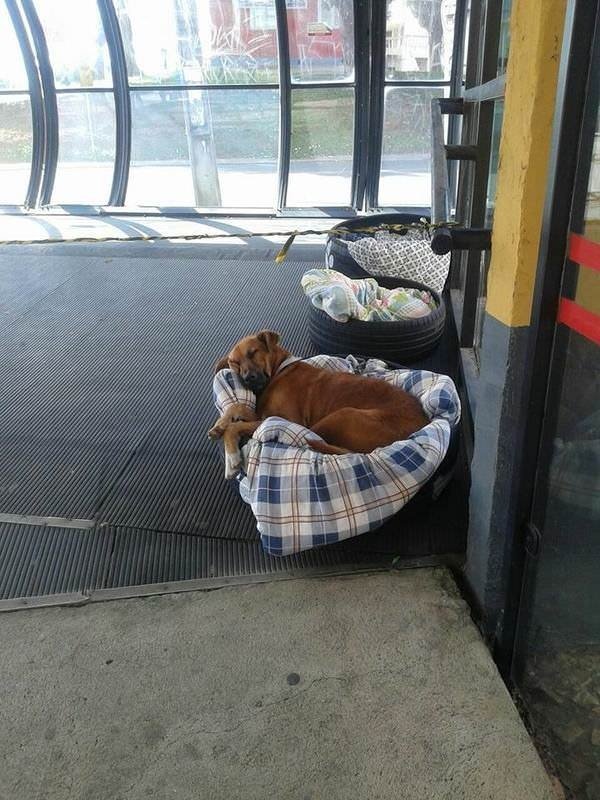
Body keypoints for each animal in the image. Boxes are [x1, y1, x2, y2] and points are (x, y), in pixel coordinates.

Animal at [209, 330, 428, 478]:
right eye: (234, 363)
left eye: (253, 352)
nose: (247, 379)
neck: (279, 370)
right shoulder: (263, 413)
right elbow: (237, 407)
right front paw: (219, 425)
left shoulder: (284, 418)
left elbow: (235, 427)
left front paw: (232, 458)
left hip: (340, 416)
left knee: (312, 439)